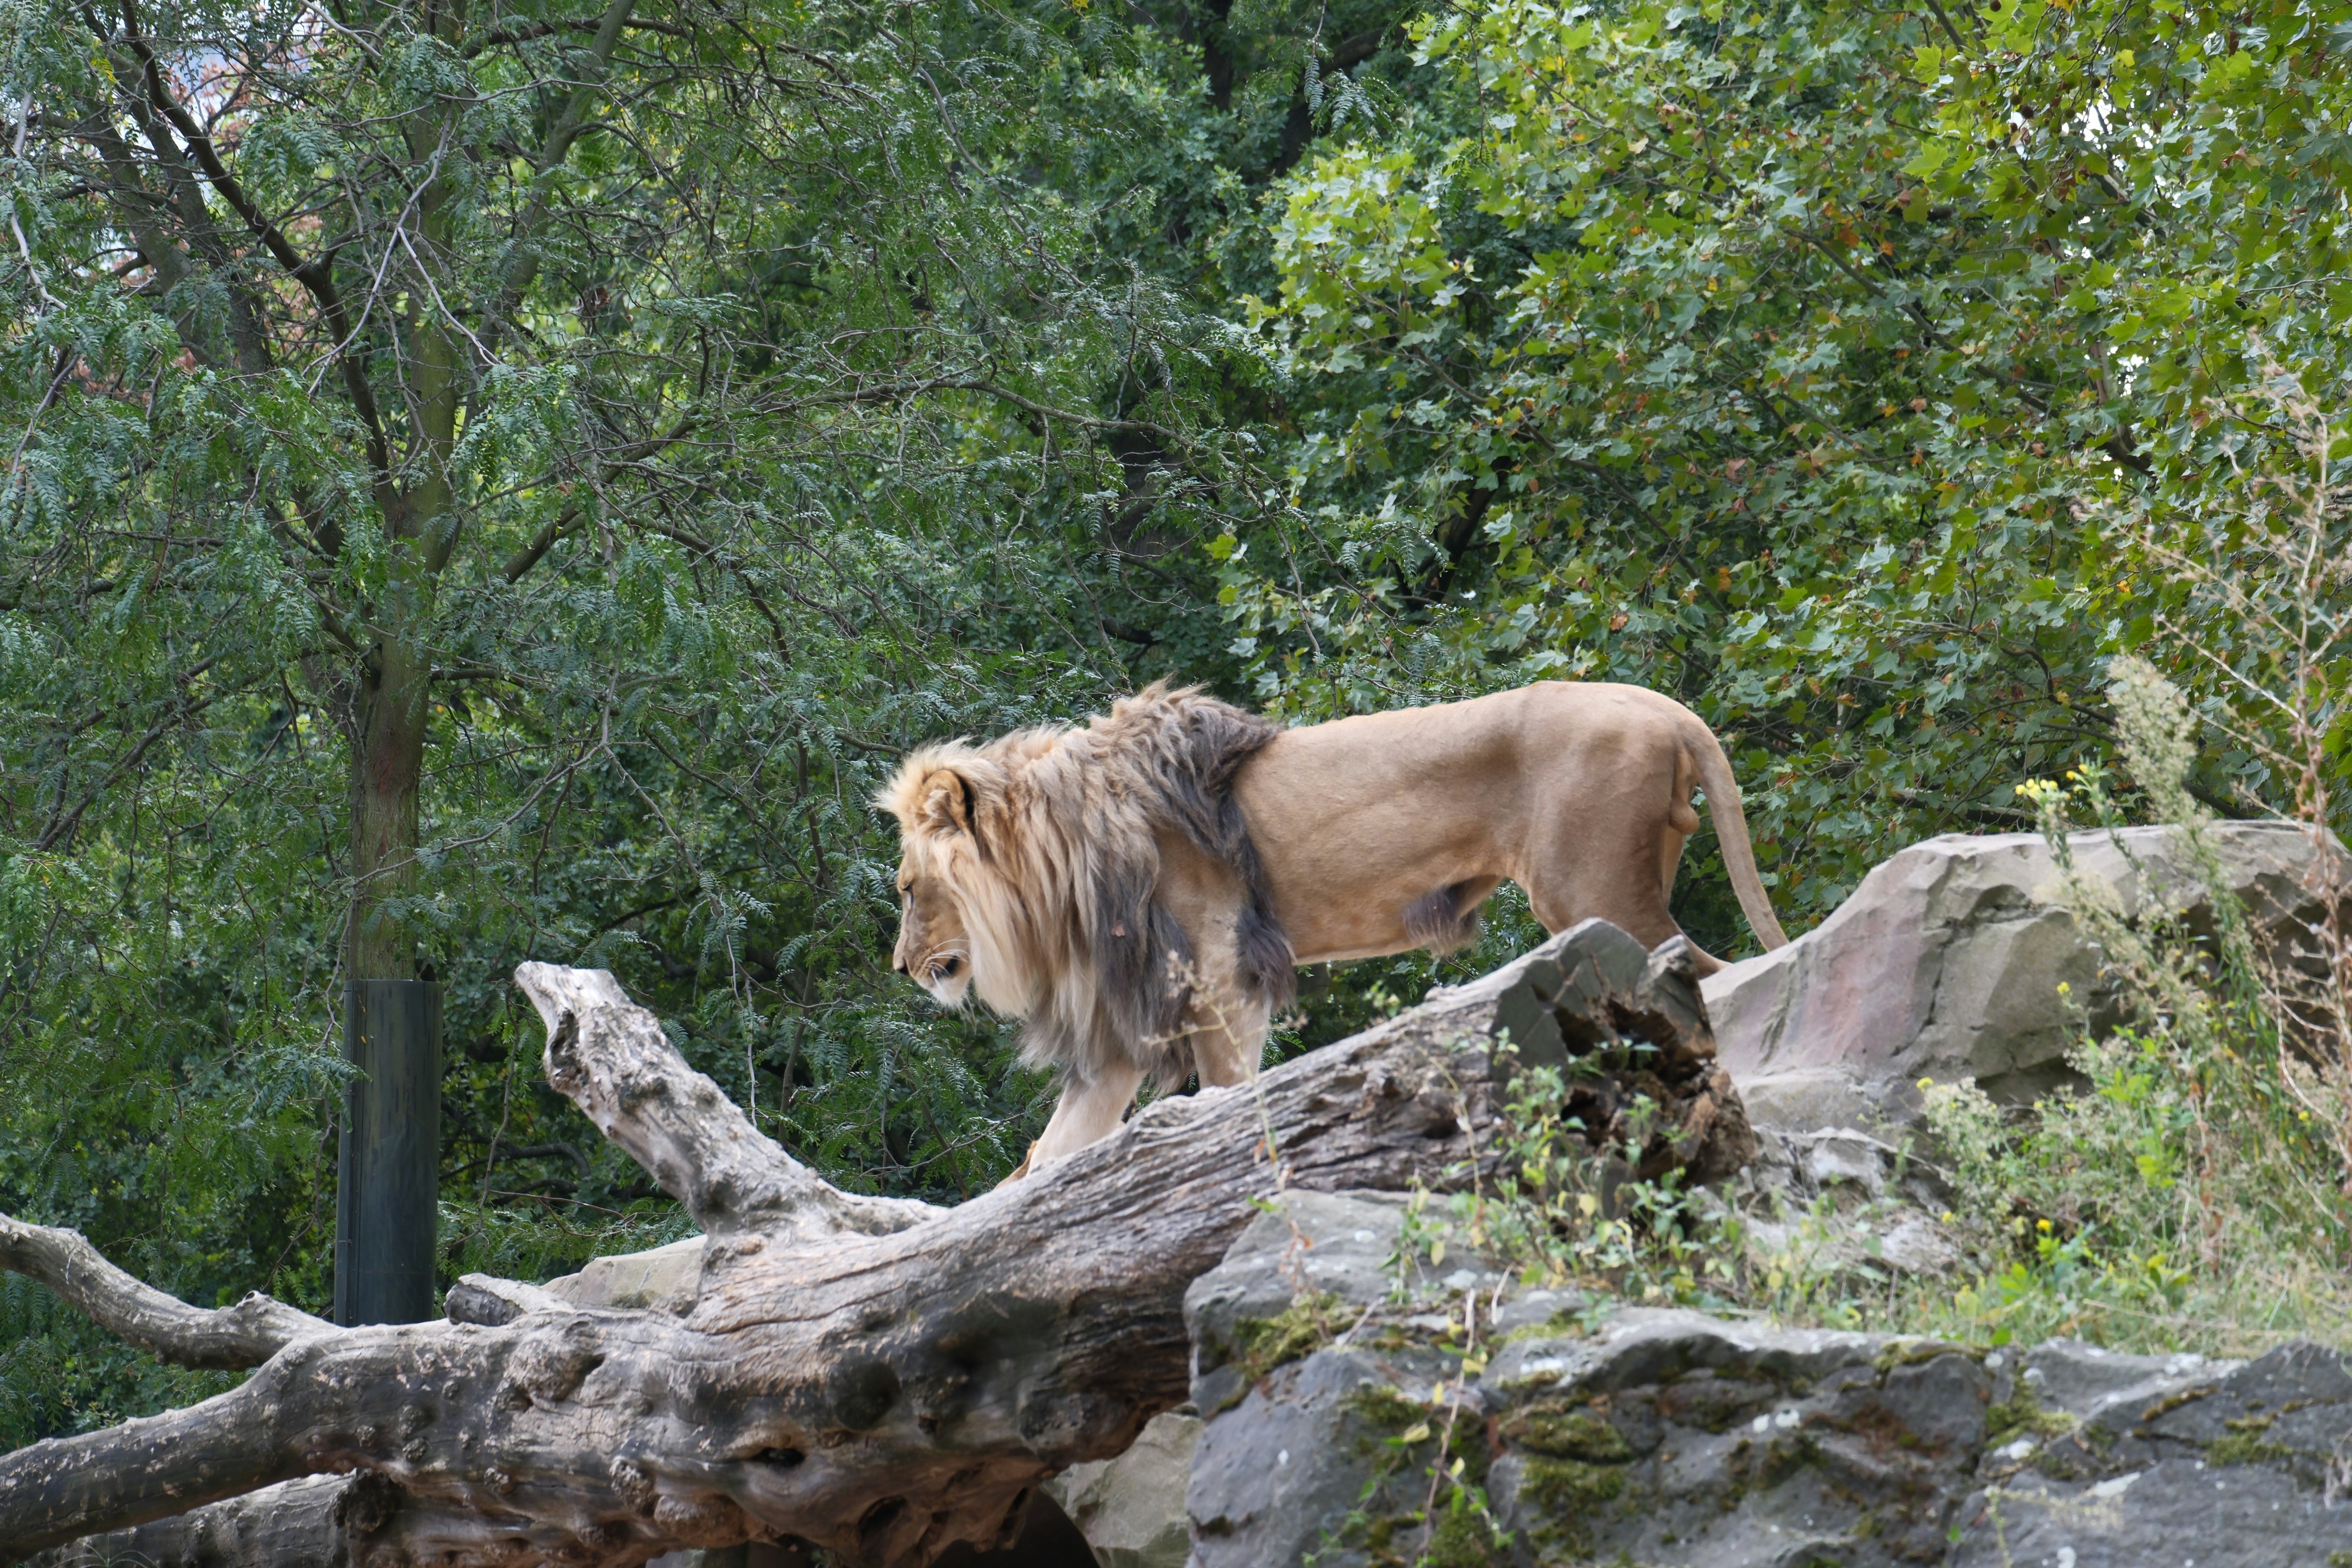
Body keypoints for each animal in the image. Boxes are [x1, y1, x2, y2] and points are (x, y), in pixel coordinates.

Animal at [880, 680, 1787, 1175]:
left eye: (908, 889)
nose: (899, 967)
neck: (1061, 862)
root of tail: (1667, 709)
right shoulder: (1122, 1032)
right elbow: (1051, 1156)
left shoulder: (1221, 976)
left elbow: (1227, 1091)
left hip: (1593, 888)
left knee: (1706, 978)